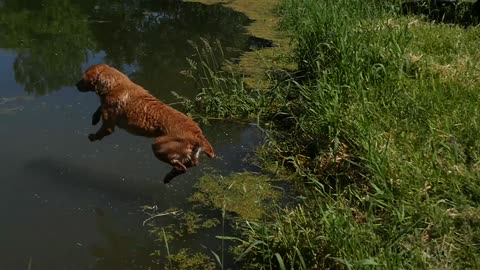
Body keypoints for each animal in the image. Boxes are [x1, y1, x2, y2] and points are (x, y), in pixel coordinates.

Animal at [76, 63, 215, 184]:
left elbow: (101, 130)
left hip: (159, 146)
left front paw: (93, 136)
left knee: (181, 167)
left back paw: (168, 176)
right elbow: (100, 107)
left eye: (83, 78)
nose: (76, 84)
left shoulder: (108, 125)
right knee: (191, 164)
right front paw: (94, 118)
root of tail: (198, 134)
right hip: (185, 152)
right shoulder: (106, 107)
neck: (115, 84)